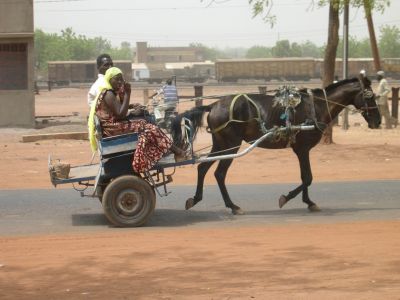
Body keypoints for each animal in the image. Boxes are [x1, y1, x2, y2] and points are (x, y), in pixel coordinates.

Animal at [170, 76, 382, 214]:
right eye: (370, 96)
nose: (378, 121)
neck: (316, 107)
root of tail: (213, 106)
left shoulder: (301, 150)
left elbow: (305, 177)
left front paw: (308, 202)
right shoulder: (302, 149)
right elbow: (308, 177)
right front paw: (287, 198)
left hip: (221, 145)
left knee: (203, 168)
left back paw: (196, 199)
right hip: (231, 144)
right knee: (219, 173)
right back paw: (232, 206)